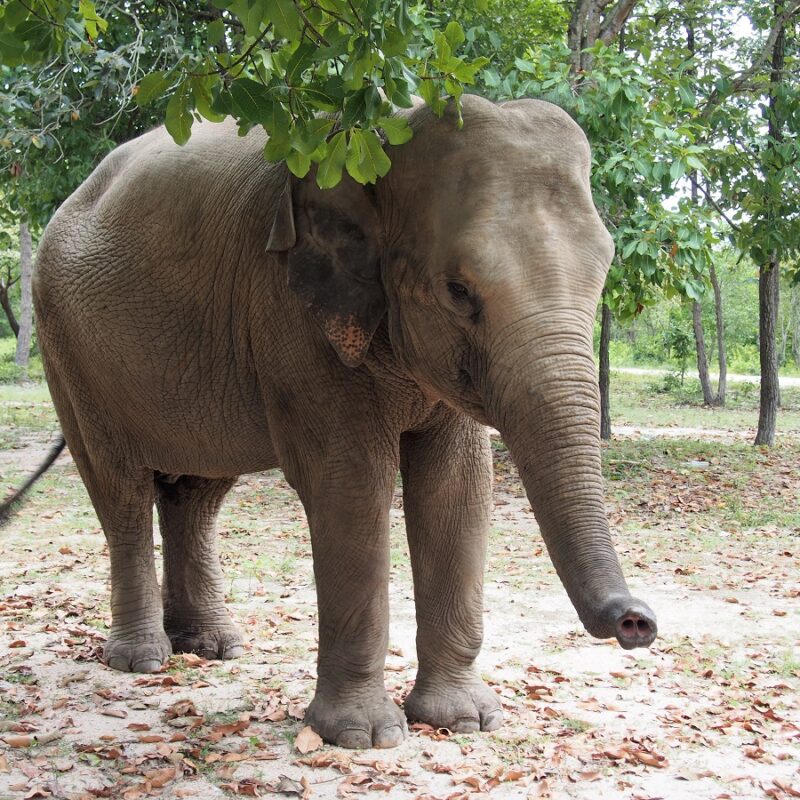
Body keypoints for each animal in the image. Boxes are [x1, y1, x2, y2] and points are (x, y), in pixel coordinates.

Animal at [20, 93, 656, 749]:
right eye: (458, 291)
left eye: (604, 270)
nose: (637, 622)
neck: (384, 132)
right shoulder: (289, 309)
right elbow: (352, 484)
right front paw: (364, 738)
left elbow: (457, 488)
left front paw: (461, 722)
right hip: (68, 348)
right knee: (119, 487)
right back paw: (142, 659)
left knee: (196, 493)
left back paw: (212, 647)